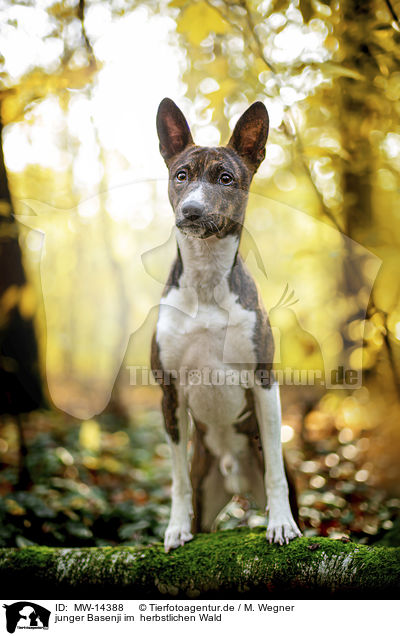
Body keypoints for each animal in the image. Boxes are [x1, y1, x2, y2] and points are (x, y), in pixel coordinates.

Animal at [152, 98, 302, 552]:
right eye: (181, 175)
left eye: (225, 178)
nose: (192, 211)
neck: (205, 283)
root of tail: (235, 480)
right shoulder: (170, 392)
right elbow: (177, 477)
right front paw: (175, 528)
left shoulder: (263, 382)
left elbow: (275, 470)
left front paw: (281, 524)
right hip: (207, 490)